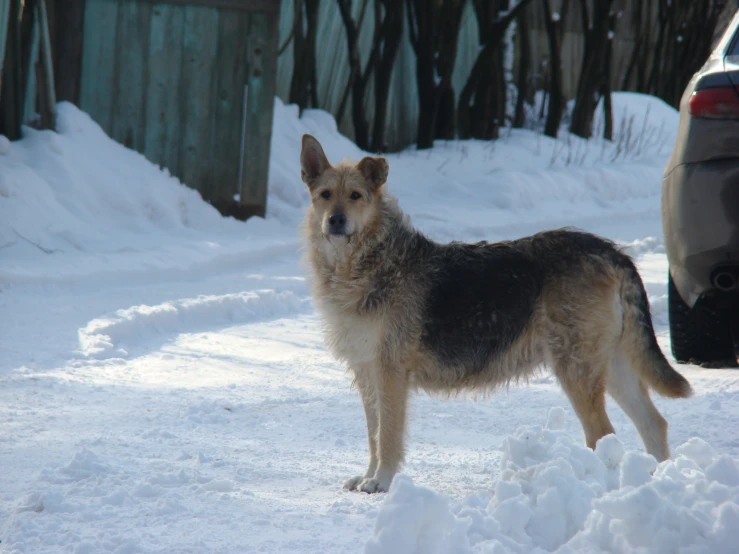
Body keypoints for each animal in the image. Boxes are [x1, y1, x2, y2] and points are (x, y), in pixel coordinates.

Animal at [300, 133, 692, 492]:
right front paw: (368, 476)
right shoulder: (367, 372)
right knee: (653, 424)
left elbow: (388, 436)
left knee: (603, 436)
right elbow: (373, 434)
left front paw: (382, 481)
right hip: (611, 365)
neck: (366, 264)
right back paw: (657, 484)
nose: (335, 221)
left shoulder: (391, 372)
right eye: (324, 195)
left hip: (577, 370)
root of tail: (612, 251)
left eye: (356, 196)